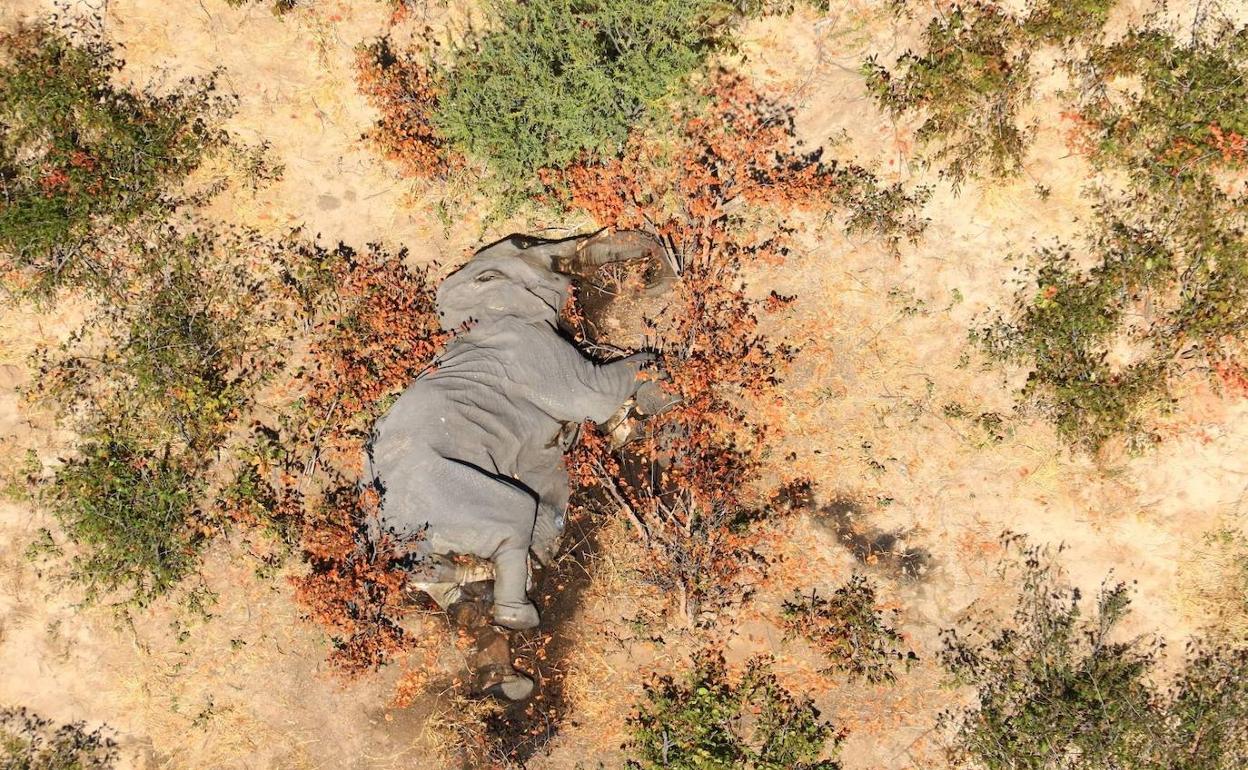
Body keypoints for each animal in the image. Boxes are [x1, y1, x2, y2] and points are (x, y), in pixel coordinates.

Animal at [364, 230, 668, 653]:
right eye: (525, 245)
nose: (648, 277)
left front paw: (626, 424)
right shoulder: (533, 350)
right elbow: (596, 392)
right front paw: (660, 387)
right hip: (451, 493)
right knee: (515, 512)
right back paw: (515, 611)